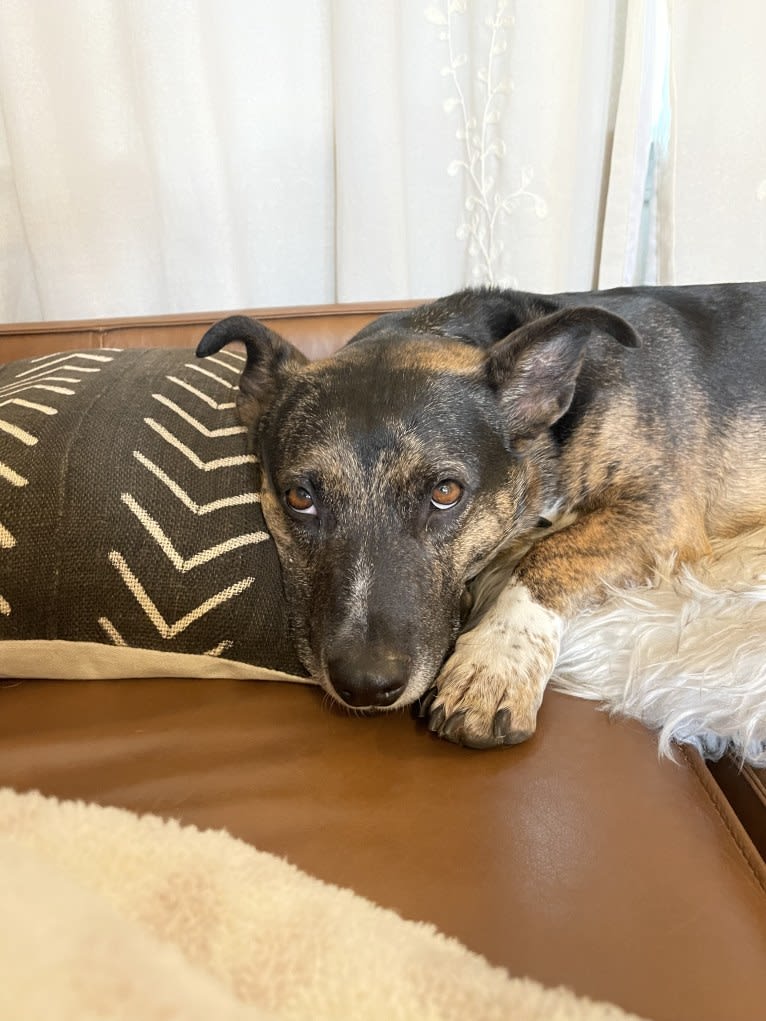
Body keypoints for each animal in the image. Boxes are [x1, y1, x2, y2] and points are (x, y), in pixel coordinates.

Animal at [198, 287, 766, 751]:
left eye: (446, 492)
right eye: (300, 497)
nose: (364, 685)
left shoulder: (661, 511)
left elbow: (551, 553)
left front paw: (495, 661)